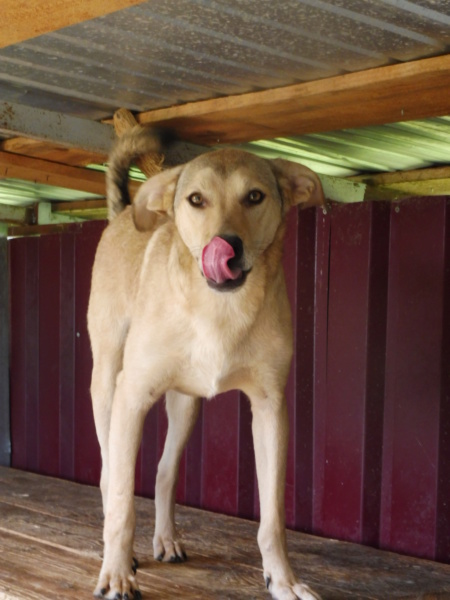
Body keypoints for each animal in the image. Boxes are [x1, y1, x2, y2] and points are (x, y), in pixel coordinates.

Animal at [88, 129, 326, 600]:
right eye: (196, 200)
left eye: (255, 196)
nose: (227, 248)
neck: (219, 308)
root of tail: (124, 213)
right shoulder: (132, 395)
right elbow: (122, 500)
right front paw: (118, 573)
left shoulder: (270, 409)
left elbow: (273, 517)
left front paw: (283, 580)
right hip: (106, 386)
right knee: (109, 475)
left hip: (185, 406)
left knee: (164, 472)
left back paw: (166, 539)